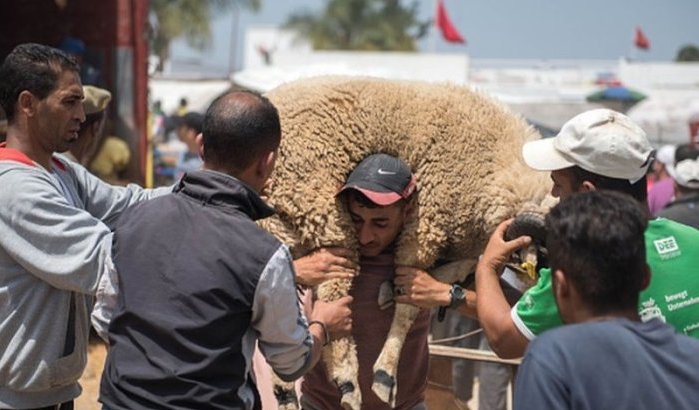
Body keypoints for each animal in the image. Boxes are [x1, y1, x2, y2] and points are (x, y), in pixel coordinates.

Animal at [258, 75, 552, 408]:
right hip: (324, 212)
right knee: (332, 296)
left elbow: (450, 273)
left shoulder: (462, 245)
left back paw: (285, 388)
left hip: (282, 224)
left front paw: (391, 289)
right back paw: (347, 381)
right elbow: (409, 307)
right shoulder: (424, 226)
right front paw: (384, 375)